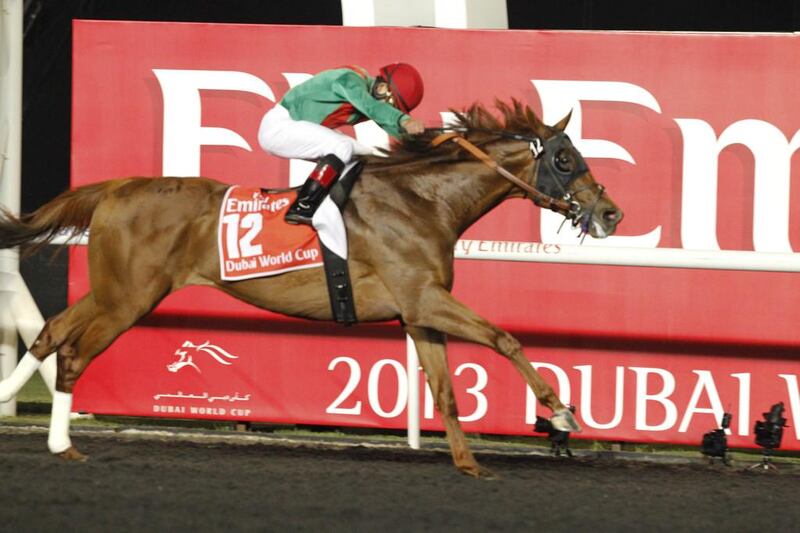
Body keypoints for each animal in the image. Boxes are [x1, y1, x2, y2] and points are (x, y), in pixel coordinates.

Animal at [0, 100, 620, 474]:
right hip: (129, 297)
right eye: (566, 159)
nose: (611, 213)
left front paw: (468, 463)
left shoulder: (419, 313)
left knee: (52, 332)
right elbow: (503, 338)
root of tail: (116, 187)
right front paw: (560, 416)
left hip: (114, 290)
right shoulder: (425, 299)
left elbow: (445, 390)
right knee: (73, 352)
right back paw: (62, 443)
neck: (423, 200)